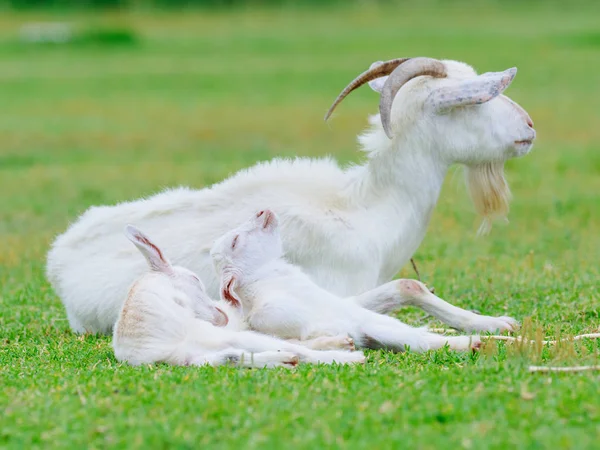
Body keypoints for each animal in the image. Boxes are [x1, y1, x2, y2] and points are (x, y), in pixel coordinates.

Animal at [47, 57, 536, 334]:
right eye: (476, 100)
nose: (529, 127)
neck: (366, 210)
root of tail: (58, 257)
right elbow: (408, 286)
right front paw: (495, 323)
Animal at [113, 225, 366, 370]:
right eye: (195, 279)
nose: (223, 314)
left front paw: (352, 359)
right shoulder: (195, 357)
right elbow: (233, 357)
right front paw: (284, 361)